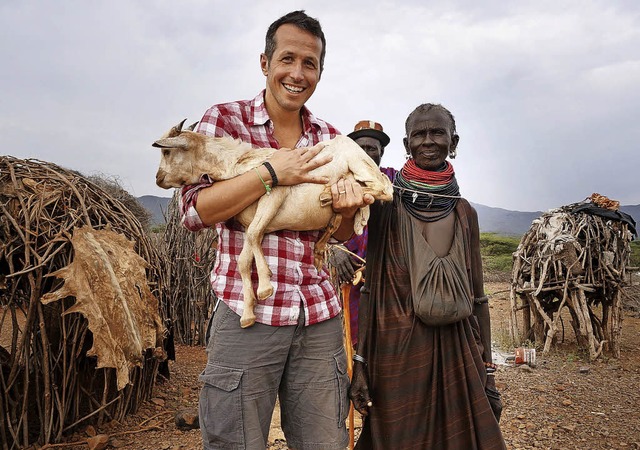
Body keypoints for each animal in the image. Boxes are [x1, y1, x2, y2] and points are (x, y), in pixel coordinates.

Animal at [154, 119, 396, 326]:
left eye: (167, 151)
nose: (158, 178)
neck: (235, 164)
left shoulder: (275, 191)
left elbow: (254, 235)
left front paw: (265, 287)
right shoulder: (250, 221)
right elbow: (244, 258)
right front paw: (248, 314)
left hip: (358, 162)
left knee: (385, 187)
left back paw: (329, 195)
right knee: (356, 201)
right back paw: (336, 228)